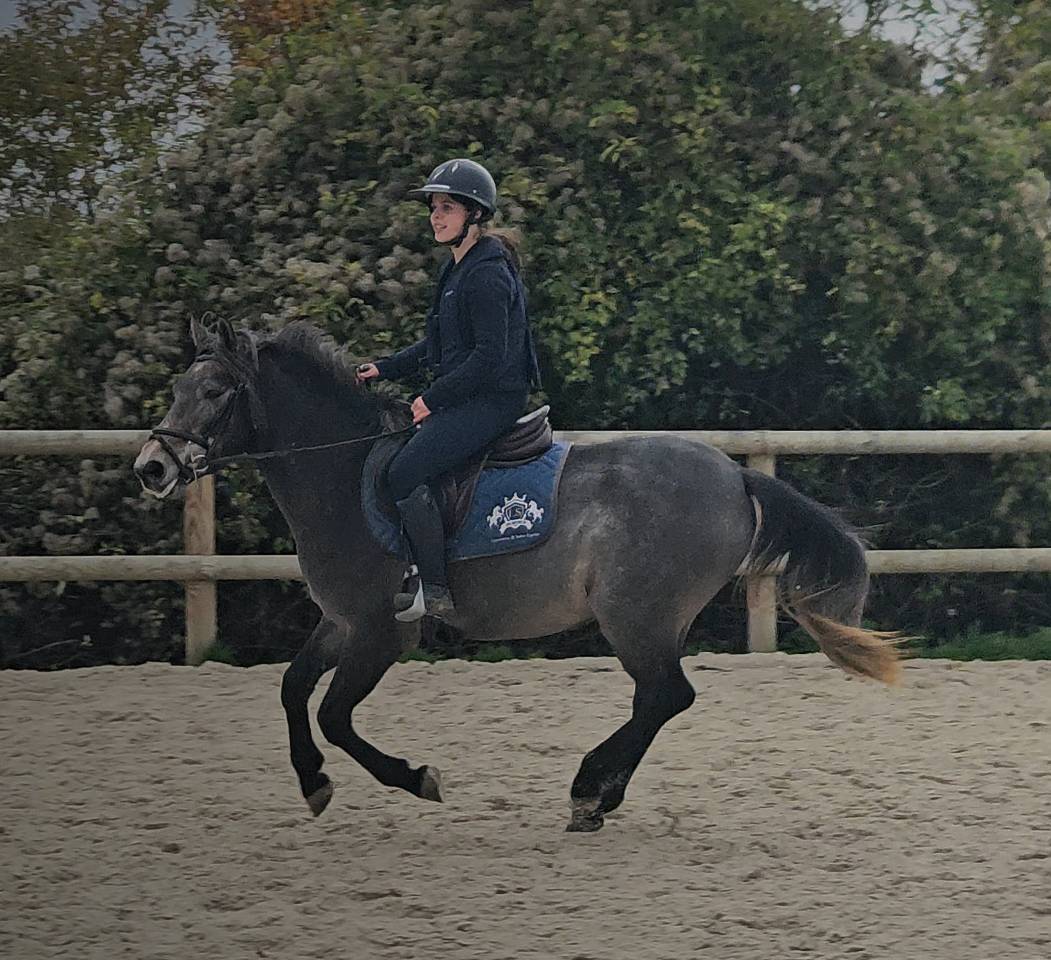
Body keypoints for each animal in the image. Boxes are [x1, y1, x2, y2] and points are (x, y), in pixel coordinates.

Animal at [133, 318, 900, 832]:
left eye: (214, 390)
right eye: (180, 386)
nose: (151, 467)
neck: (344, 475)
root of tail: (735, 474)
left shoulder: (383, 632)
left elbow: (334, 715)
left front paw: (415, 779)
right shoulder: (342, 620)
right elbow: (293, 691)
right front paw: (312, 782)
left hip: (636, 617)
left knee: (666, 696)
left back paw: (588, 788)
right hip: (646, 621)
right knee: (656, 700)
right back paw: (599, 795)